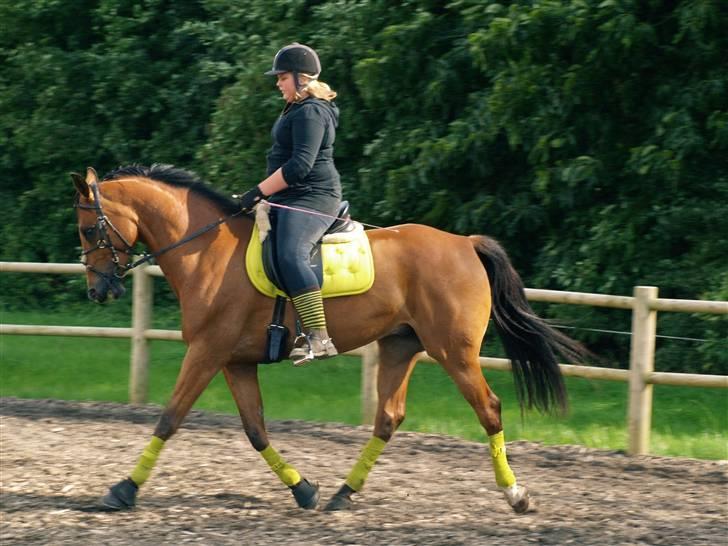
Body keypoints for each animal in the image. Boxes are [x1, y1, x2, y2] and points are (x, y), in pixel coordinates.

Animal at [71, 164, 588, 512]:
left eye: (88, 229)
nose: (99, 290)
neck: (205, 250)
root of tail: (464, 243)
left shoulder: (206, 352)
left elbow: (169, 419)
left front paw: (122, 490)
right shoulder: (234, 360)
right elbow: (255, 430)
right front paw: (304, 490)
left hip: (454, 353)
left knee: (489, 409)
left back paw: (516, 495)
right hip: (400, 346)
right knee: (388, 418)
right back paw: (343, 493)